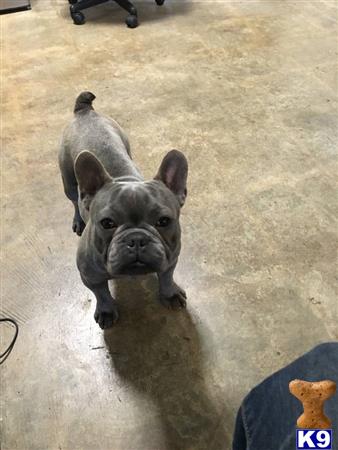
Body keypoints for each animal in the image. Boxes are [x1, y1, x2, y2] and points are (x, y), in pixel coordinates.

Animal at [59, 93, 189, 328]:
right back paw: (78, 221)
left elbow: (166, 277)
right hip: (68, 180)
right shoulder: (90, 277)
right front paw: (106, 310)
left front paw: (170, 294)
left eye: (164, 221)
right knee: (74, 200)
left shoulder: (171, 258)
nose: (137, 239)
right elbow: (101, 294)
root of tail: (84, 112)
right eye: (107, 223)